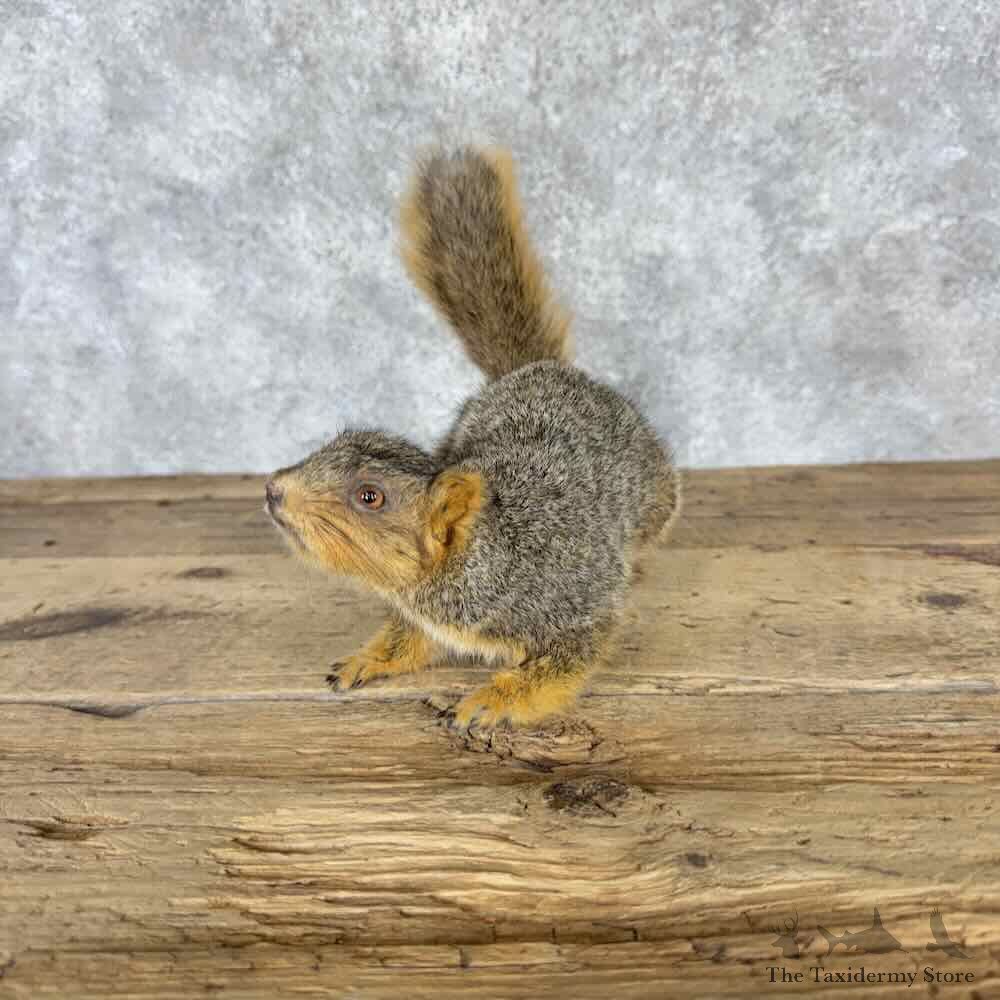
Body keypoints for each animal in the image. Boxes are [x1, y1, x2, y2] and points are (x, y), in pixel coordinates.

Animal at [266, 145, 679, 729]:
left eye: (370, 496)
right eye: (330, 445)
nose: (273, 489)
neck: (483, 555)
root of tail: (539, 369)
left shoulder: (571, 609)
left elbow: (559, 667)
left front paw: (493, 700)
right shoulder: (426, 620)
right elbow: (409, 641)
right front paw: (369, 658)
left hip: (656, 501)